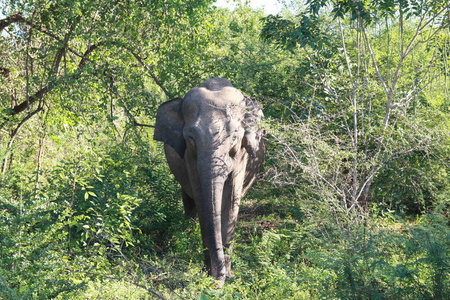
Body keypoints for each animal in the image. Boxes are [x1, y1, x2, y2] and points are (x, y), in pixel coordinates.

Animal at [155, 77, 268, 284]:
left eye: (235, 137)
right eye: (191, 137)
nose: (218, 280)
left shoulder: (242, 155)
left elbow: (231, 200)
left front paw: (228, 275)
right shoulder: (189, 157)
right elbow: (201, 199)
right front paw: (208, 272)